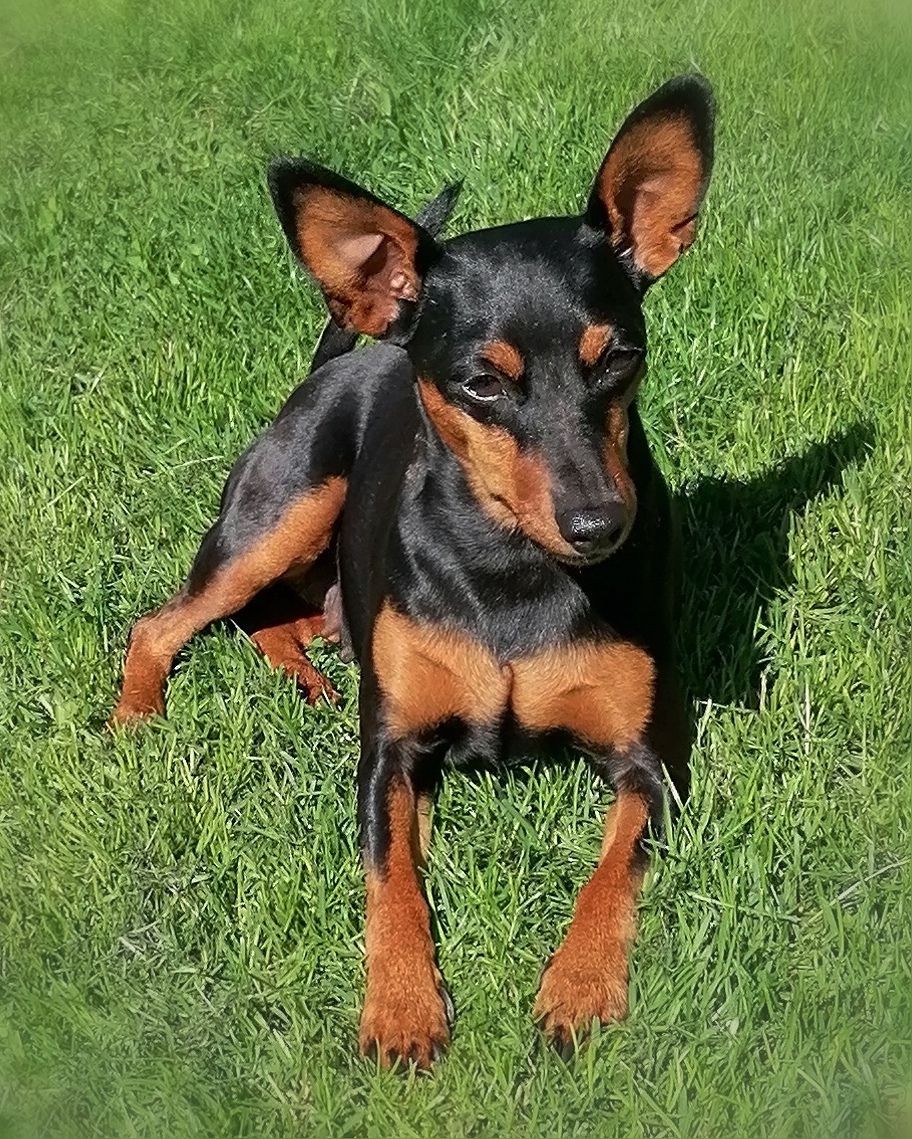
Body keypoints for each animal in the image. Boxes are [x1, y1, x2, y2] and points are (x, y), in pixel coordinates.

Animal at [111, 74, 715, 1068]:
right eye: (482, 383)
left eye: (621, 357)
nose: (601, 524)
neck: (511, 566)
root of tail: (346, 357)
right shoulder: (390, 752)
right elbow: (390, 873)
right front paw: (401, 1007)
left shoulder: (647, 762)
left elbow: (613, 867)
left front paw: (580, 986)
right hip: (282, 509)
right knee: (167, 619)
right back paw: (136, 716)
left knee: (279, 619)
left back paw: (311, 672)